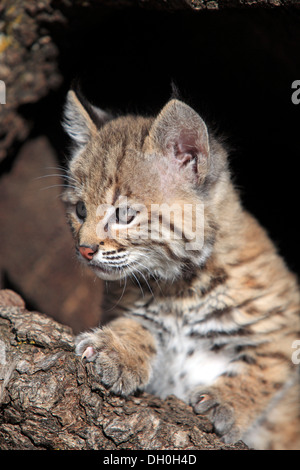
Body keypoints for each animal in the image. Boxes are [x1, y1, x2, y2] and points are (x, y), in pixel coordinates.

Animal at [62, 89, 298, 448]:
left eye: (123, 215)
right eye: (79, 210)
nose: (84, 250)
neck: (182, 287)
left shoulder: (283, 327)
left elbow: (265, 367)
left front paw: (227, 402)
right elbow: (136, 324)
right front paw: (116, 349)